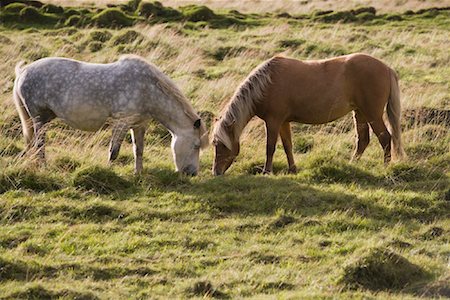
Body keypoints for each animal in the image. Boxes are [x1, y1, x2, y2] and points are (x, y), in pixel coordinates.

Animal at [13, 55, 208, 175]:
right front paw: (109, 171)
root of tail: (23, 71)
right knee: (39, 145)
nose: (192, 173)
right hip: (39, 118)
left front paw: (138, 173)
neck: (147, 88)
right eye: (196, 145)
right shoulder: (121, 123)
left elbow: (139, 150)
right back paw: (43, 167)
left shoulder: (139, 125)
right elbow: (114, 151)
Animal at [213, 54, 406, 176]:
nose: (216, 172)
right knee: (363, 140)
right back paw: (353, 164)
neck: (266, 84)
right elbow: (287, 146)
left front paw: (267, 172)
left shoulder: (273, 121)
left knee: (385, 138)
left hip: (372, 113)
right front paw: (292, 169)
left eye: (221, 144)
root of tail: (387, 68)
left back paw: (385, 167)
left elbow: (270, 147)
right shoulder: (283, 122)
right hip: (360, 113)